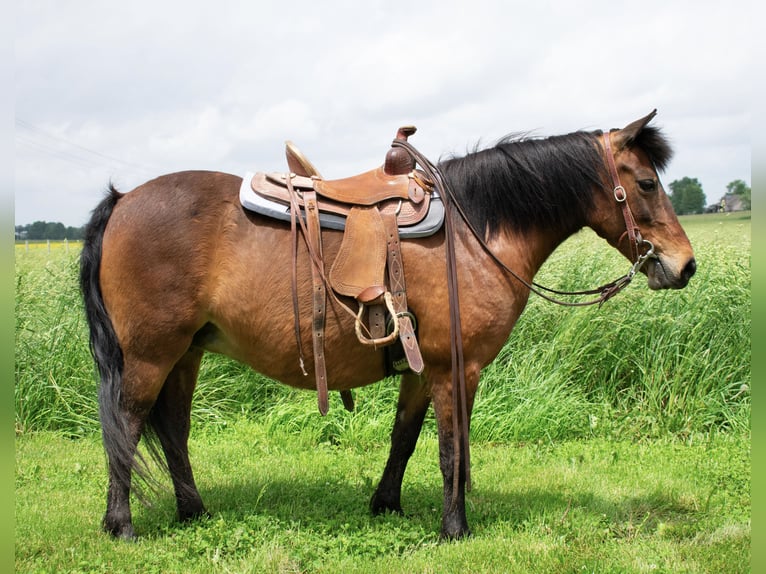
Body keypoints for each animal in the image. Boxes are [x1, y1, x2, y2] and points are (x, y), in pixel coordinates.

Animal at [79, 110, 696, 544]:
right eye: (646, 183)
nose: (685, 265)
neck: (475, 231)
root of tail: (123, 201)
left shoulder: (421, 369)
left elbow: (405, 436)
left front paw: (387, 505)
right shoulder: (456, 368)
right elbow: (452, 447)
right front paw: (455, 528)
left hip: (187, 353)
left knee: (173, 431)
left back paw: (194, 512)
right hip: (151, 355)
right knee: (126, 427)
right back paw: (121, 524)